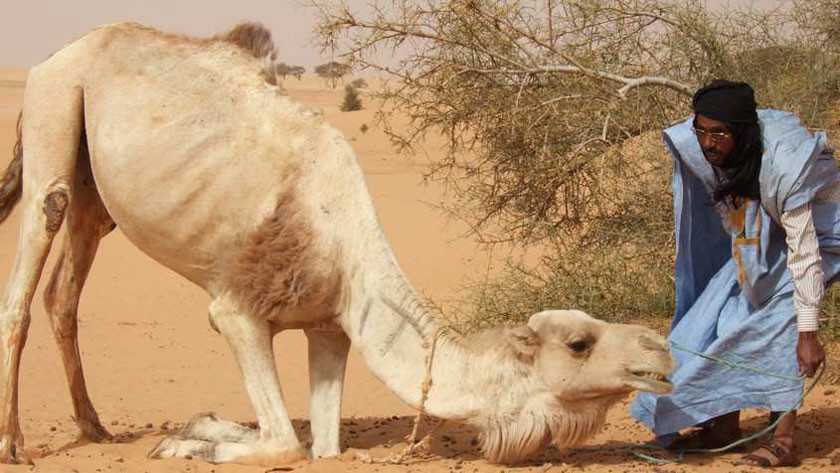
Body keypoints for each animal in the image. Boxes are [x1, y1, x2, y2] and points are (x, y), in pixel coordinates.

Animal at [0, 23, 672, 464]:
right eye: (581, 342)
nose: (661, 351)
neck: (350, 262)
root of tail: (67, 48)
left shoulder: (329, 326)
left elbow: (321, 446)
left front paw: (201, 428)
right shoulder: (236, 311)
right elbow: (284, 444)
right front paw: (190, 441)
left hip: (95, 182)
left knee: (66, 287)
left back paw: (94, 429)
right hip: (58, 101)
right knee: (40, 234)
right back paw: (17, 444)